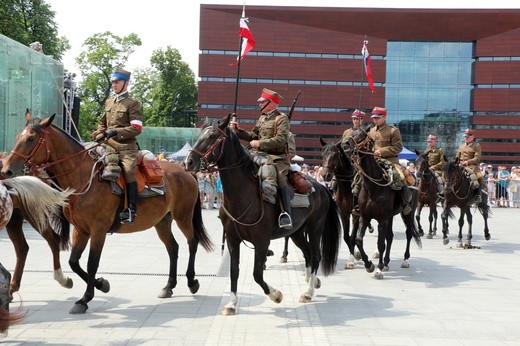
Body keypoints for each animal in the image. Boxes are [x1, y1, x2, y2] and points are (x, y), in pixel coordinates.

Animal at [1, 112, 213, 314]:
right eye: (18, 136)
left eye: (31, 139)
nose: (7, 170)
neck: (84, 177)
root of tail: (185, 171)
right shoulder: (81, 230)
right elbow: (74, 262)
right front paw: (101, 284)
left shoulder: (98, 230)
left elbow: (91, 263)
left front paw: (85, 299)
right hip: (162, 221)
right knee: (173, 248)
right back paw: (169, 286)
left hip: (183, 216)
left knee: (192, 242)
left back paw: (192, 282)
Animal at [184, 115, 342, 316]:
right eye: (199, 135)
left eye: (212, 136)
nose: (188, 162)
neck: (243, 195)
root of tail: (321, 187)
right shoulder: (233, 239)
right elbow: (234, 270)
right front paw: (232, 304)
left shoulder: (261, 241)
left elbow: (257, 273)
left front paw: (275, 295)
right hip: (297, 232)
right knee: (307, 253)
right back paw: (312, 281)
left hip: (315, 229)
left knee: (315, 255)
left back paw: (308, 292)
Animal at [344, 125, 420, 280]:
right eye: (352, 132)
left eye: (361, 135)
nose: (345, 144)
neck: (373, 187)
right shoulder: (365, 217)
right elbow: (359, 240)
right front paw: (369, 265)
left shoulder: (382, 219)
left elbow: (380, 243)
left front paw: (377, 269)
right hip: (390, 216)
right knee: (390, 237)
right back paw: (386, 262)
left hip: (408, 213)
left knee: (408, 233)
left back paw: (405, 260)